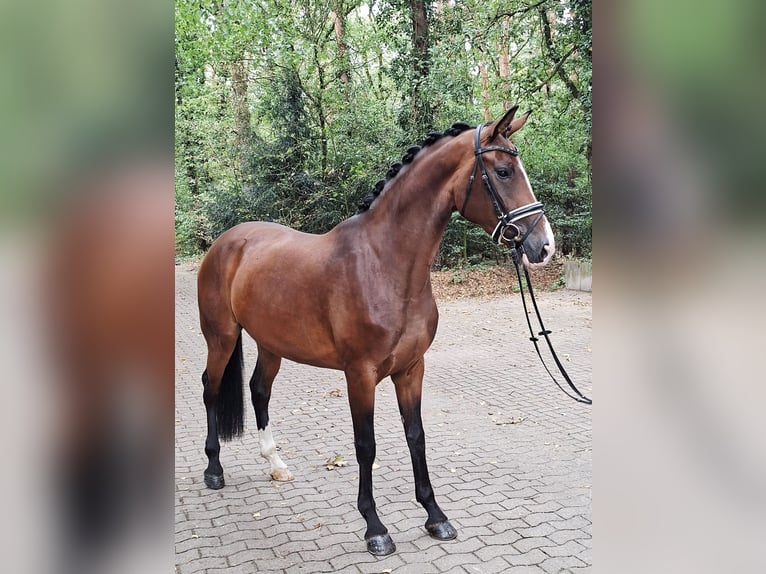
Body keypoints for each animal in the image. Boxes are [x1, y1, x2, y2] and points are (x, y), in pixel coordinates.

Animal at [196, 106, 555, 556]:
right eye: (504, 171)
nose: (544, 246)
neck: (384, 264)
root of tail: (227, 242)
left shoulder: (412, 369)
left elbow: (416, 436)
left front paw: (435, 516)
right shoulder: (360, 375)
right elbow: (365, 446)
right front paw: (375, 528)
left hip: (271, 344)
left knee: (259, 390)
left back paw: (276, 464)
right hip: (222, 338)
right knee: (210, 388)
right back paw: (213, 469)